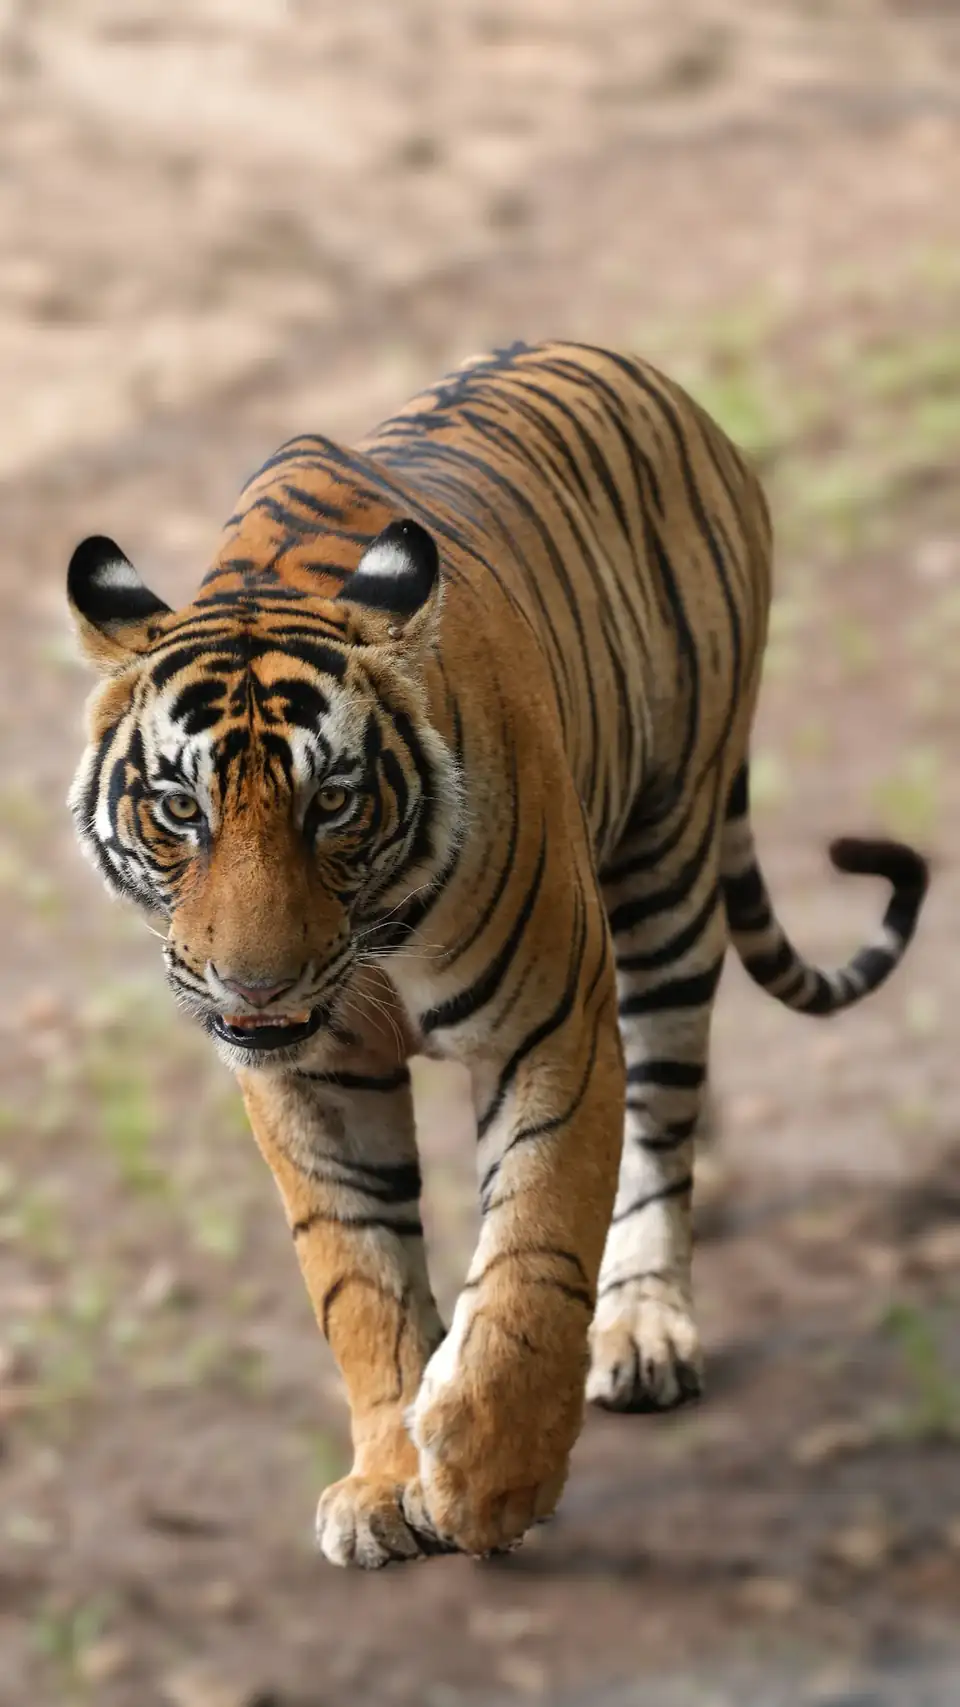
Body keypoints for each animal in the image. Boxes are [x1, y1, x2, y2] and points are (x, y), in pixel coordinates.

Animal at [67, 341, 928, 1569]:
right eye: (181, 808)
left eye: (332, 802)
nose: (255, 984)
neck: (369, 947)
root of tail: (649, 375)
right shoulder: (309, 1078)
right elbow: (360, 1275)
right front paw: (386, 1481)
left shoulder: (550, 1027)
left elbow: (533, 1251)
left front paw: (486, 1483)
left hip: (667, 869)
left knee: (662, 1117)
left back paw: (644, 1325)